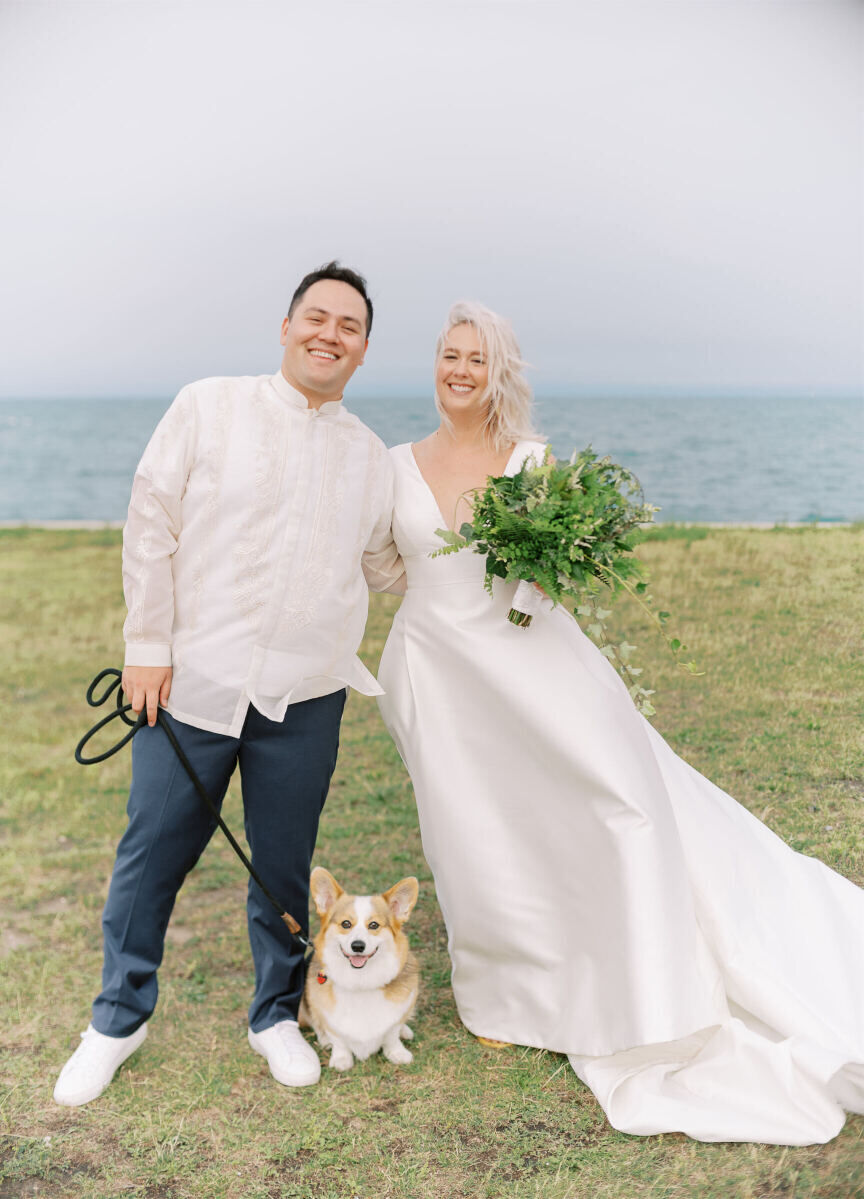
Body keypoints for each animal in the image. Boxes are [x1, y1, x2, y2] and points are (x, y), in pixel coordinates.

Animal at [299, 868, 421, 1074]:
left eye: (374, 925)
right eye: (346, 924)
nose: (357, 946)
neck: (361, 982)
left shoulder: (398, 1014)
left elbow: (392, 1035)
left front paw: (397, 1053)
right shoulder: (328, 1017)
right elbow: (337, 1038)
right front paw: (341, 1058)